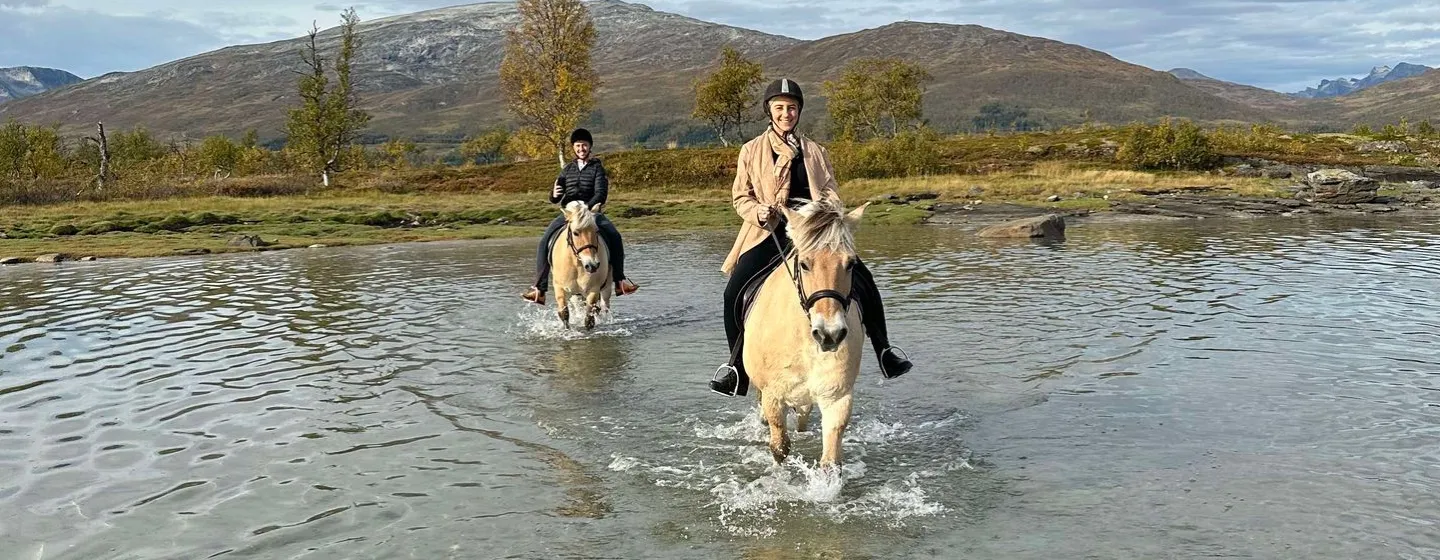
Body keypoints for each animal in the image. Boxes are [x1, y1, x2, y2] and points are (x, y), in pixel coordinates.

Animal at [547, 200, 610, 329]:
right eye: (575, 233)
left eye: (596, 231)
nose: (592, 265)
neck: (577, 264)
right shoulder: (560, 288)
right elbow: (564, 314)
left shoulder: (593, 289)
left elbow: (589, 318)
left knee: (604, 306)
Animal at [743, 198, 864, 469]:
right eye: (805, 264)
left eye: (851, 264)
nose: (830, 334)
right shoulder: (773, 396)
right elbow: (780, 447)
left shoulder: (837, 397)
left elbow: (830, 462)